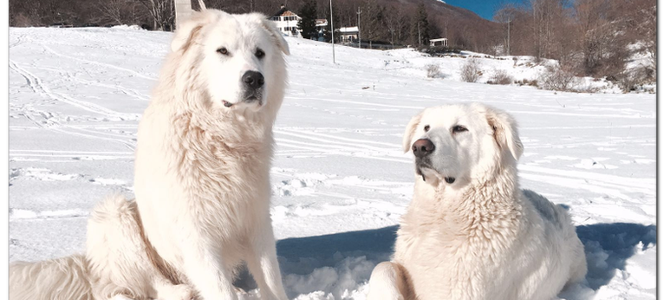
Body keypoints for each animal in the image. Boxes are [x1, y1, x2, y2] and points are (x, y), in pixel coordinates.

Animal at [368, 102, 588, 300]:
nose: (420, 147)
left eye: (459, 128)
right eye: (426, 127)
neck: (443, 214)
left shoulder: (459, 290)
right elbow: (382, 268)